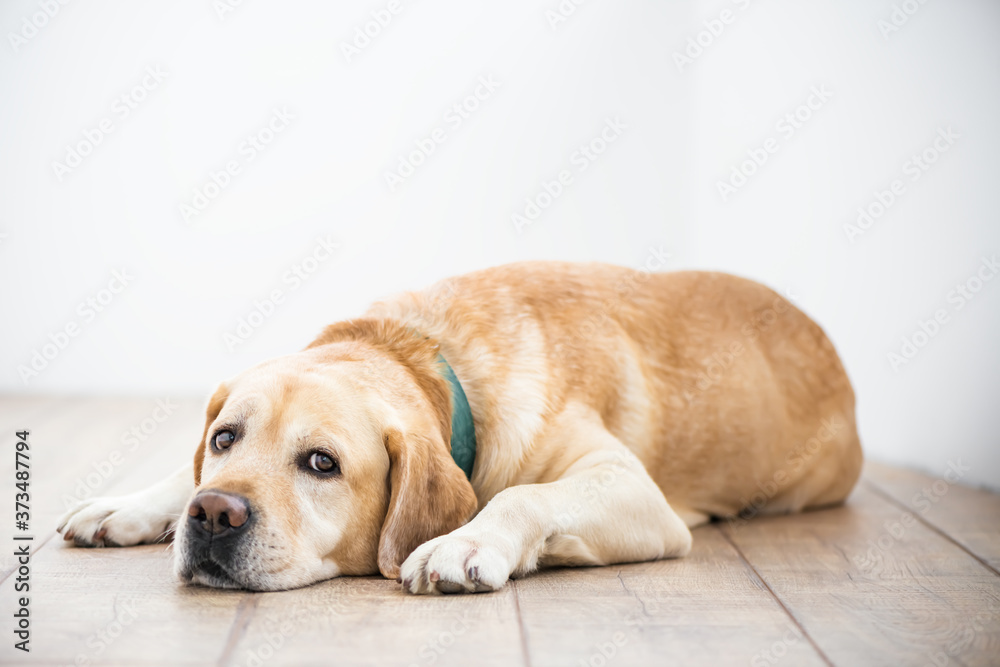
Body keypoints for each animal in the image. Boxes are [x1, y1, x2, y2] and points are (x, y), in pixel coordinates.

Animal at [58, 260, 864, 596]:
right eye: (226, 438)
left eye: (321, 463)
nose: (213, 515)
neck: (425, 353)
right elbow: (180, 469)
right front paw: (131, 503)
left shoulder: (637, 492)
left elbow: (523, 495)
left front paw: (469, 541)